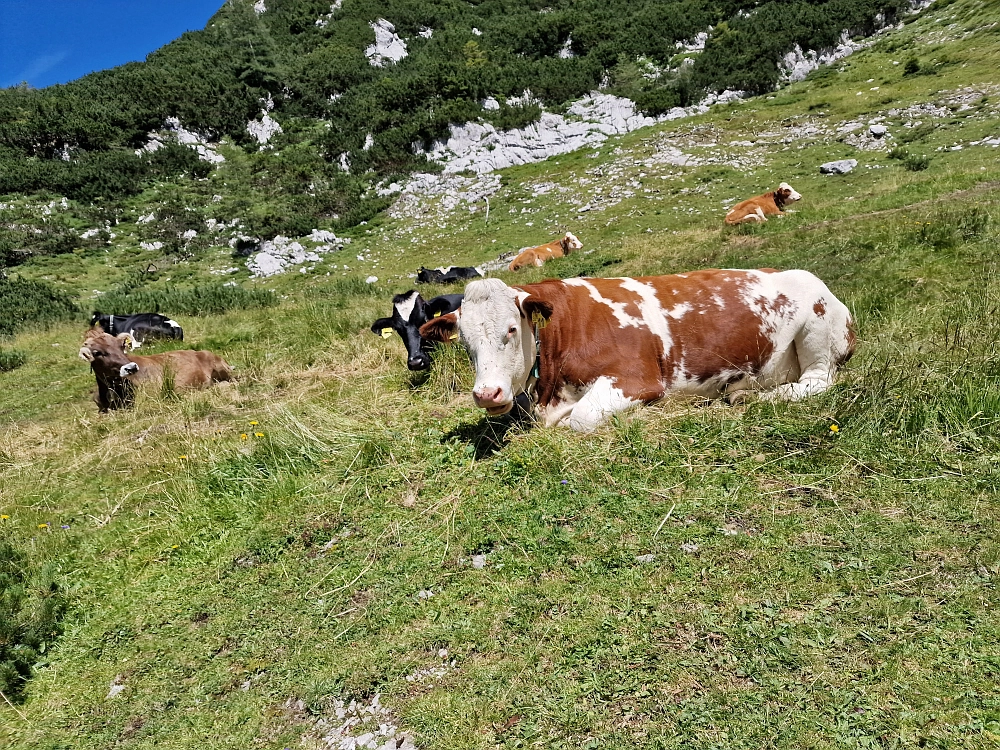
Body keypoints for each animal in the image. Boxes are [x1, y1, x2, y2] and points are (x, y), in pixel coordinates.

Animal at [418, 272, 856, 434]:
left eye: (511, 329)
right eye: (466, 343)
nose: (486, 394)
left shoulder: (636, 379)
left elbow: (581, 418)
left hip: (818, 332)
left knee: (816, 382)